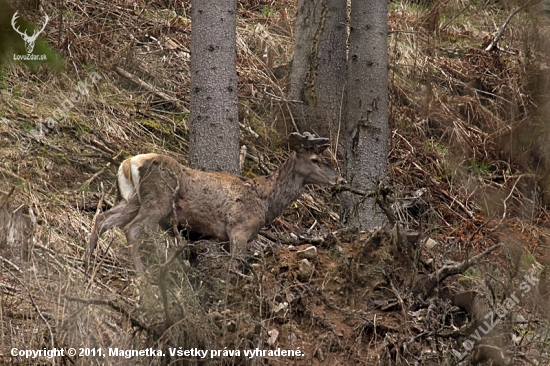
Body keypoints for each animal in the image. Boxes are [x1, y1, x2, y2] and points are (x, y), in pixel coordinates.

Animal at [87, 132, 344, 272]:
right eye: (315, 158)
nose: (338, 178)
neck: (266, 202)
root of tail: (129, 162)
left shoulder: (222, 237)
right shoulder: (239, 229)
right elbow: (234, 266)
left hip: (130, 199)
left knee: (102, 218)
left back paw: (88, 262)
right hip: (157, 200)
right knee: (133, 229)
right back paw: (143, 275)